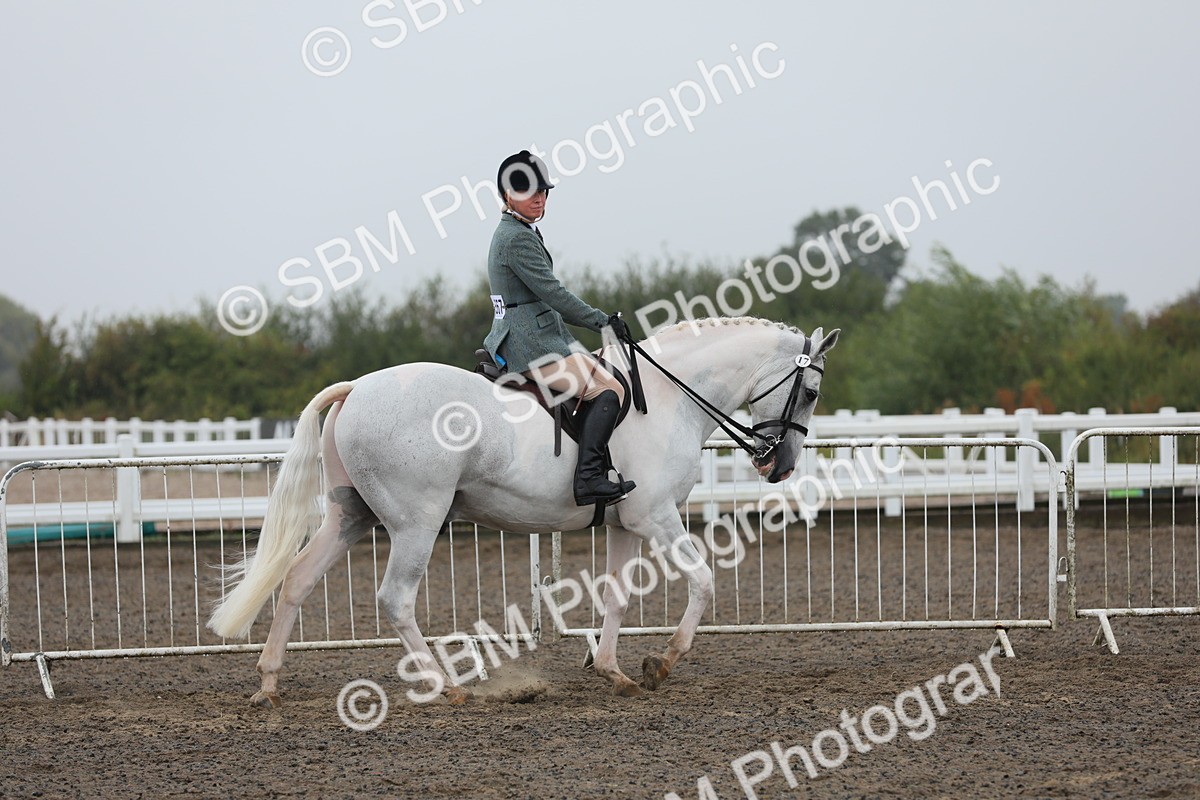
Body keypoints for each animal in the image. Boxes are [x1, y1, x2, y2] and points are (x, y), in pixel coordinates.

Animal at [207, 317, 839, 707]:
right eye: (810, 393)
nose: (779, 464)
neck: (664, 401)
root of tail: (357, 388)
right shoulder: (657, 517)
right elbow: (705, 581)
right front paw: (663, 663)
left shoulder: (626, 523)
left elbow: (616, 597)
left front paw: (614, 672)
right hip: (416, 523)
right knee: (395, 599)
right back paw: (445, 686)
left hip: (351, 517)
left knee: (296, 579)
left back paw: (269, 682)